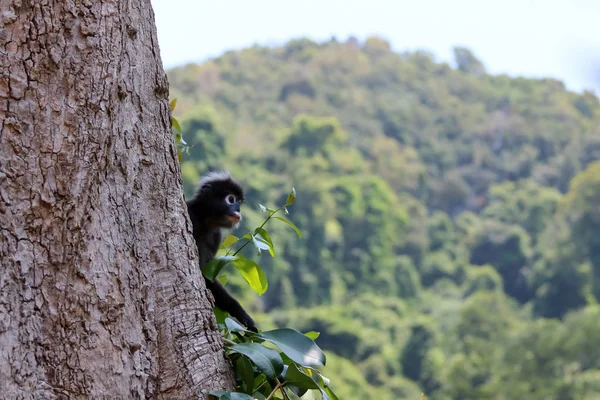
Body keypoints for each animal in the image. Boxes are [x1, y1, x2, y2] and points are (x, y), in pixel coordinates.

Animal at [188, 170, 258, 332]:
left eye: (239, 201)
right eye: (231, 199)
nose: (238, 209)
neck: (205, 221)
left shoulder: (216, 235)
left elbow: (206, 273)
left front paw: (241, 313)